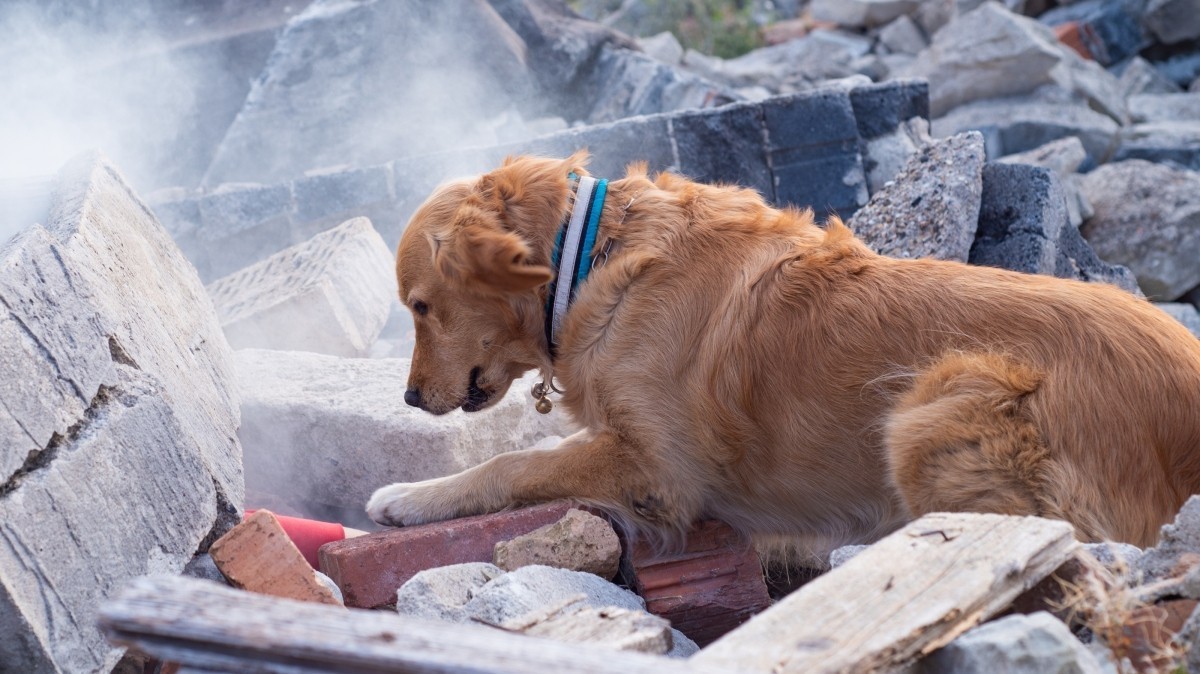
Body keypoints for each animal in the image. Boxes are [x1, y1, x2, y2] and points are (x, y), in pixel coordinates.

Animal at [362, 152, 1200, 551]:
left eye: (420, 307)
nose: (408, 397)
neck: (590, 254)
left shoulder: (661, 472)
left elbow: (512, 465)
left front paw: (410, 497)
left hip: (935, 404)